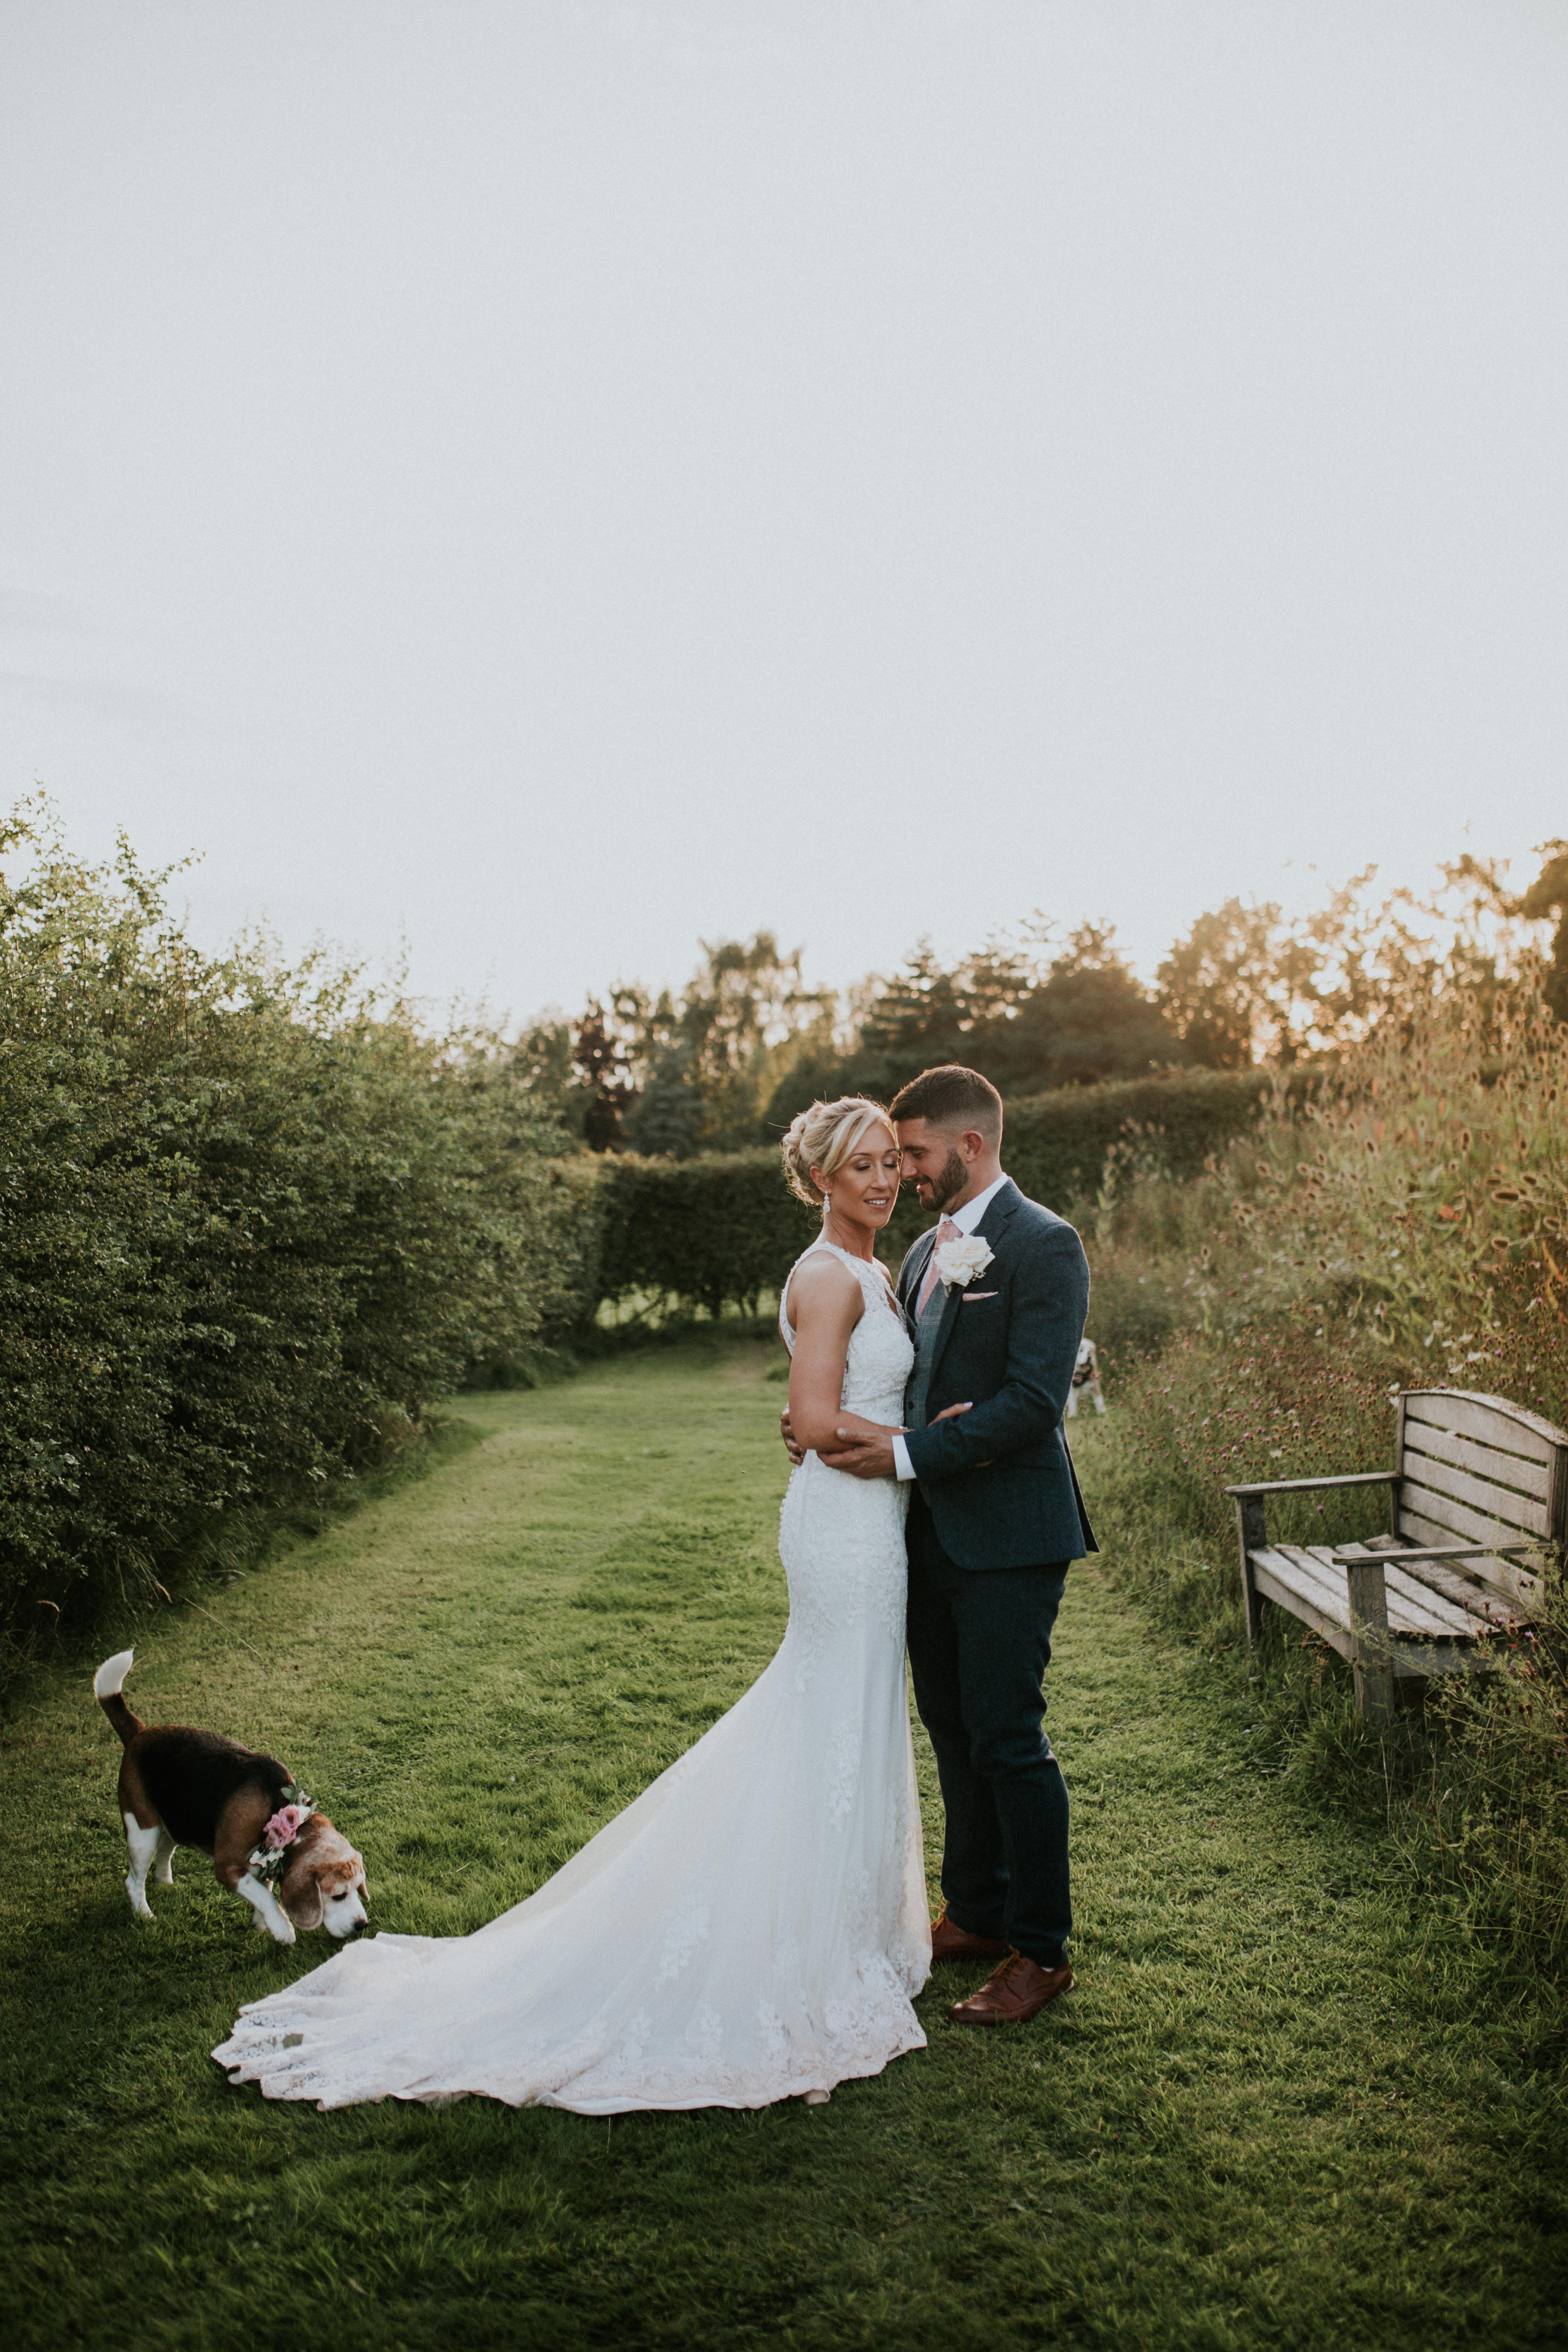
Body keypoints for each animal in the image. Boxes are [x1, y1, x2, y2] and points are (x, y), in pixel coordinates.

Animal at [95, 1646, 371, 1938]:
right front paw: (281, 1927)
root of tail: (140, 1733)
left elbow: (265, 1887)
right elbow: (265, 1896)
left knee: (166, 1847)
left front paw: (263, 1924)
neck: (275, 1808)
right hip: (142, 1831)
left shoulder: (263, 1863)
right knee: (134, 1880)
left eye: (358, 1888)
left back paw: (165, 1881)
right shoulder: (228, 1869)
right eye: (338, 1896)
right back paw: (144, 1914)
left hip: (174, 1822)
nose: (362, 1925)